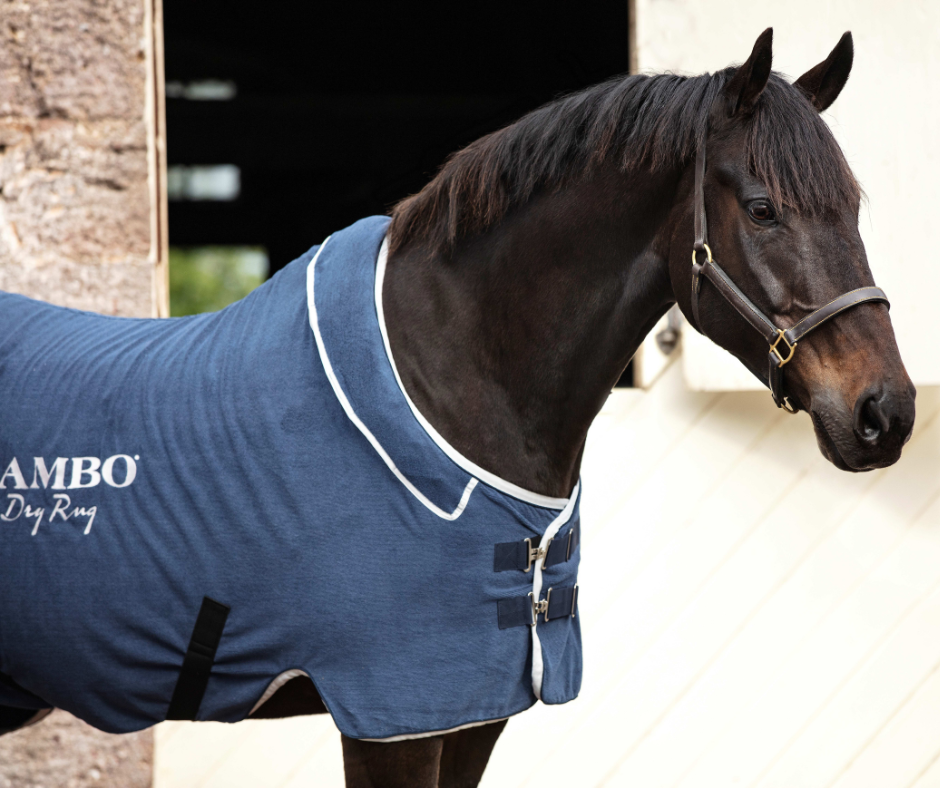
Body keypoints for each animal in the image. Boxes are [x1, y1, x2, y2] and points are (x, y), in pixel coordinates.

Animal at [0, 28, 915, 788]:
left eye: (853, 208)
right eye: (763, 210)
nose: (887, 412)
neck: (451, 385)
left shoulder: (475, 714)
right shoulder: (394, 716)